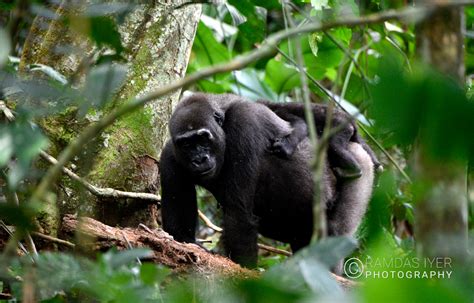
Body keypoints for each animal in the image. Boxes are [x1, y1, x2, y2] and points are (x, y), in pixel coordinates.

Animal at [161, 92, 376, 268]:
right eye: (187, 144)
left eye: (203, 138)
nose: (199, 159)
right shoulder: (170, 156)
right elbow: (178, 233)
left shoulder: (243, 121)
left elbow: (239, 216)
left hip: (361, 163)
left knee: (335, 232)